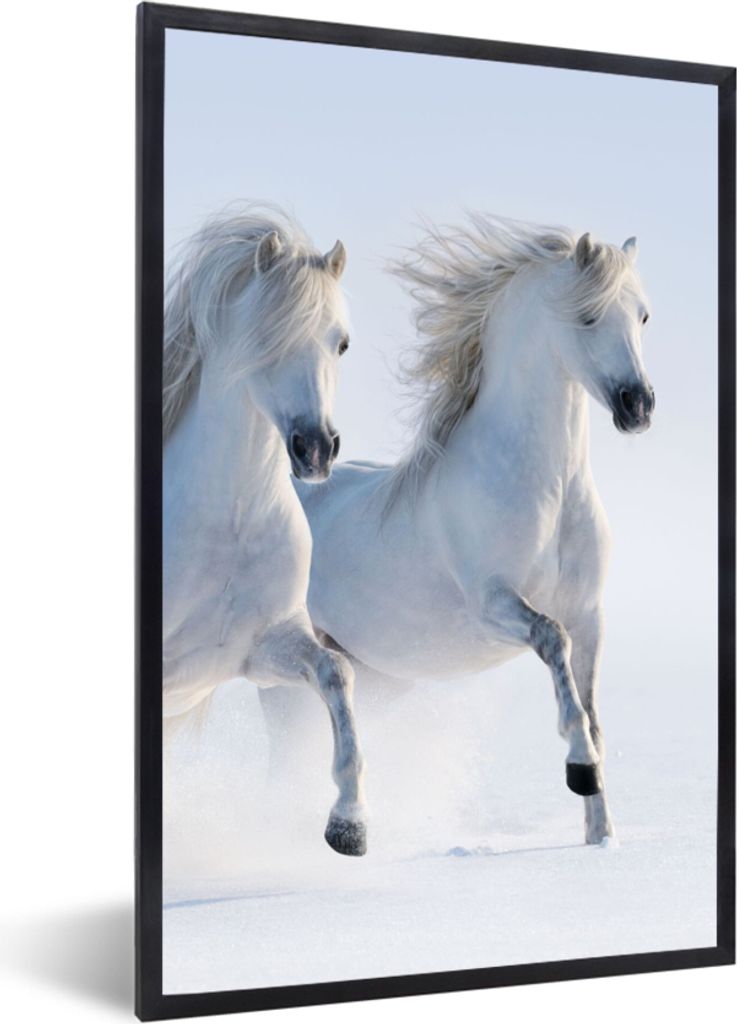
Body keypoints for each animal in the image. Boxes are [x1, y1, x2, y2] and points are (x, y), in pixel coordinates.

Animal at [162, 205, 367, 857]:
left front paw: (349, 824)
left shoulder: (262, 647)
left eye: (341, 342)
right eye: (266, 337)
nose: (315, 448)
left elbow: (337, 673)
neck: (228, 524)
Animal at [272, 213, 654, 847]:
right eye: (588, 315)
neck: (547, 491)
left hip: (376, 674)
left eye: (643, 315)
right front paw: (579, 769)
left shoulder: (590, 614)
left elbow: (594, 710)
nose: (638, 406)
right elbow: (553, 644)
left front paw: (601, 835)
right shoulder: (494, 604)